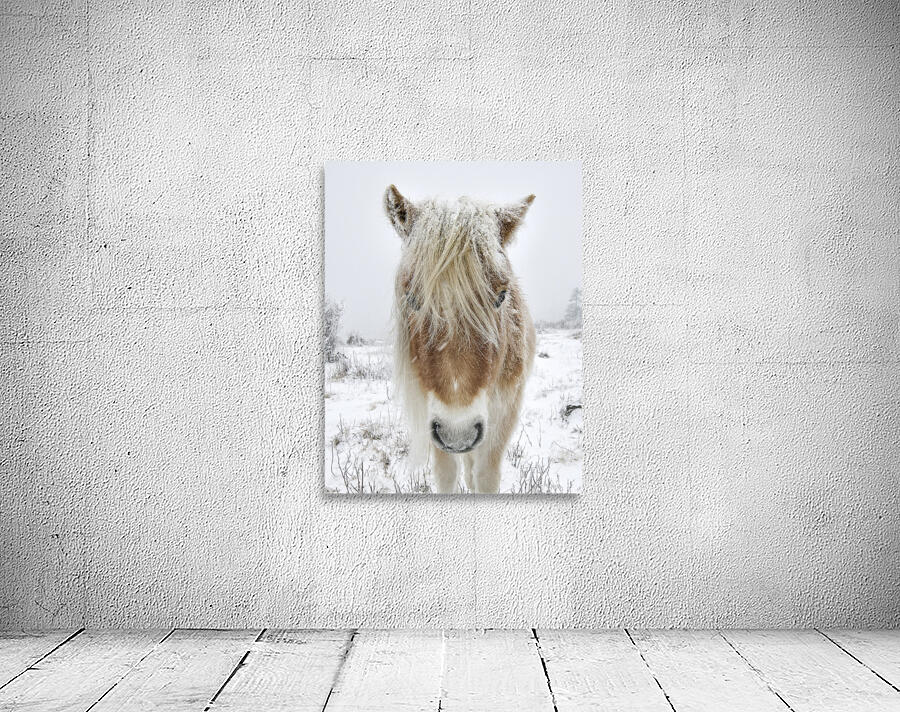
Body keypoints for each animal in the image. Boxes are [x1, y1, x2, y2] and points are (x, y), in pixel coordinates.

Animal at [384, 184, 536, 494]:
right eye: (412, 299)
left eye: (501, 295)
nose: (459, 434)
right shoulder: (435, 419)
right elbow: (447, 475)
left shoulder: (503, 414)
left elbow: (486, 476)